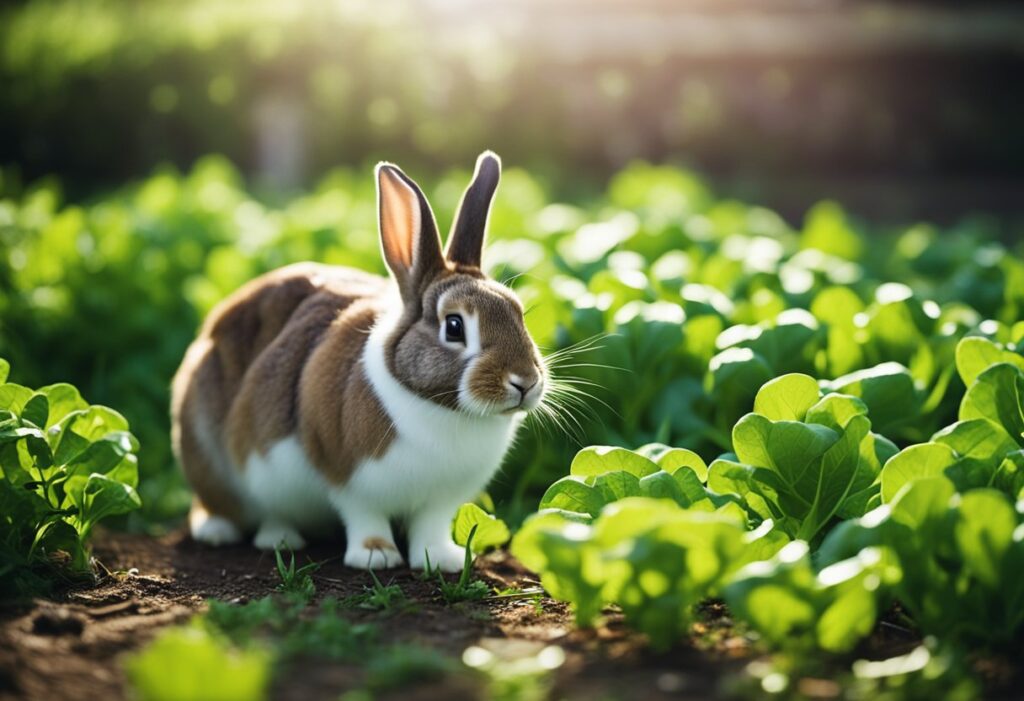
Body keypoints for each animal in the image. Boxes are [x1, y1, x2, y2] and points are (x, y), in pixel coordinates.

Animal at [169, 151, 544, 568]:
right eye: (454, 326)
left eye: (519, 313)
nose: (525, 381)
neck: (444, 409)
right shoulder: (349, 480)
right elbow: (365, 517)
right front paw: (375, 556)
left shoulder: (439, 502)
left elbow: (430, 527)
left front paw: (441, 560)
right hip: (206, 450)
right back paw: (246, 535)